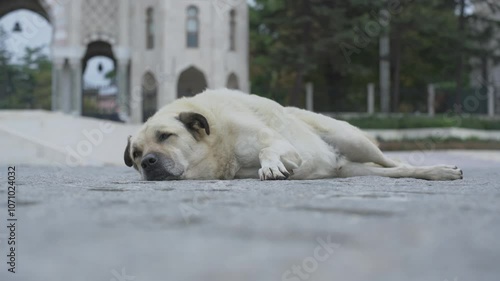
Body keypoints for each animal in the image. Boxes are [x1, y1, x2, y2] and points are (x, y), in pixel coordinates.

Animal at [123, 88, 462, 182]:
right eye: (136, 155)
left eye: (165, 136)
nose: (148, 162)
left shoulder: (278, 144)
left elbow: (267, 150)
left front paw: (272, 166)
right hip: (353, 168)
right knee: (396, 171)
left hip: (354, 141)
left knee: (395, 163)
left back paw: (442, 169)